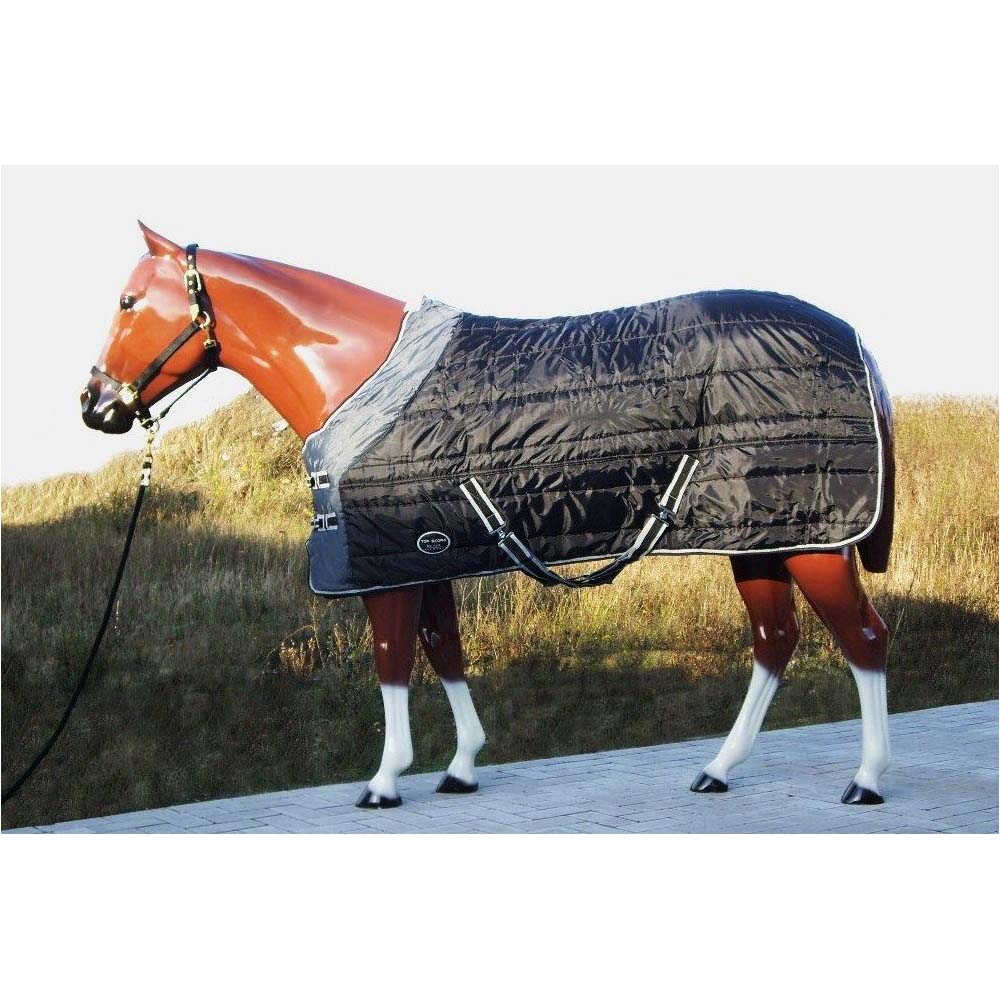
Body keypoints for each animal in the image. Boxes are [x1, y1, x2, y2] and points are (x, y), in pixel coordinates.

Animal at [81, 222, 896, 810]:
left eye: (128, 302)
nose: (95, 405)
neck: (361, 379)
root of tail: (853, 340)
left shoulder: (384, 567)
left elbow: (392, 661)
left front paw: (385, 781)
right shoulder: (426, 553)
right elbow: (445, 652)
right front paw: (462, 767)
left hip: (816, 542)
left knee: (862, 638)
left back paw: (866, 780)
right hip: (758, 540)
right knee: (775, 641)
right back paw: (719, 769)